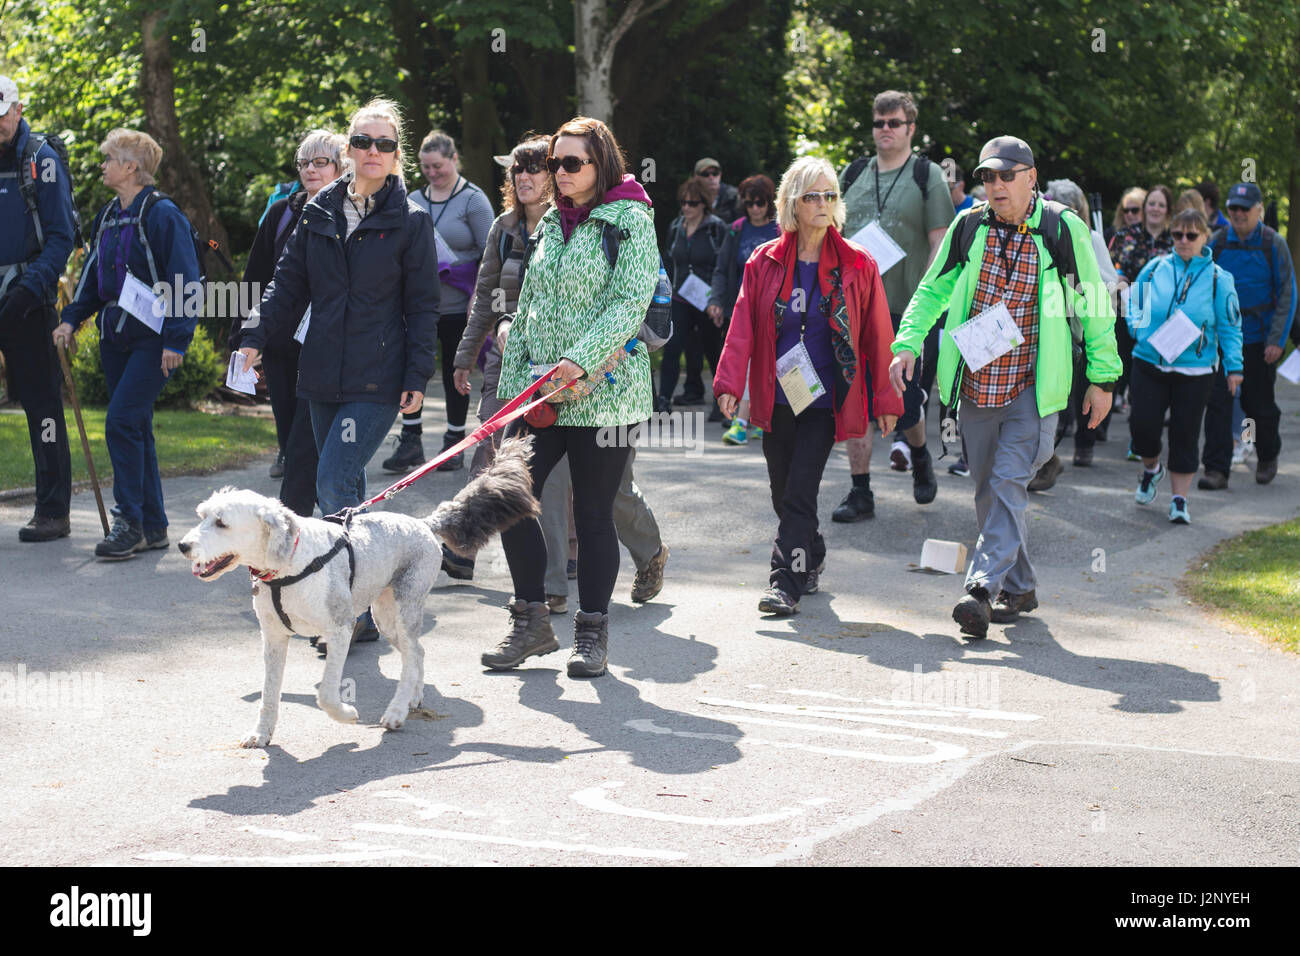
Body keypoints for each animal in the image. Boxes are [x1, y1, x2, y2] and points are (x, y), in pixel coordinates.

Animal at [179, 439, 538, 749]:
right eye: (203, 516)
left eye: (222, 523)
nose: (183, 545)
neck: (289, 564)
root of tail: (423, 524)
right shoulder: (273, 637)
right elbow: (269, 693)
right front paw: (261, 734)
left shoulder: (339, 629)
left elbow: (326, 693)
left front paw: (347, 715)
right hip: (385, 616)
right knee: (417, 653)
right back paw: (412, 697)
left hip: (406, 607)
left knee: (411, 654)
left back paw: (396, 712)